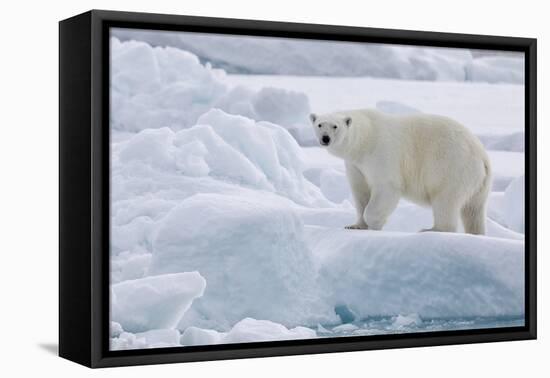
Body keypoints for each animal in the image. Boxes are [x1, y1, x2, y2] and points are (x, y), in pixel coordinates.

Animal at [310, 108, 492, 235]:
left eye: (335, 126)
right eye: (319, 124)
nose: (325, 138)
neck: (365, 138)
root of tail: (483, 156)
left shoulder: (382, 153)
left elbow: (386, 187)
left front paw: (374, 224)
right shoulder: (356, 165)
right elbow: (360, 192)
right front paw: (355, 225)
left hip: (452, 167)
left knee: (445, 200)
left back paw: (433, 229)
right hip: (478, 184)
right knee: (473, 211)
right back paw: (476, 233)